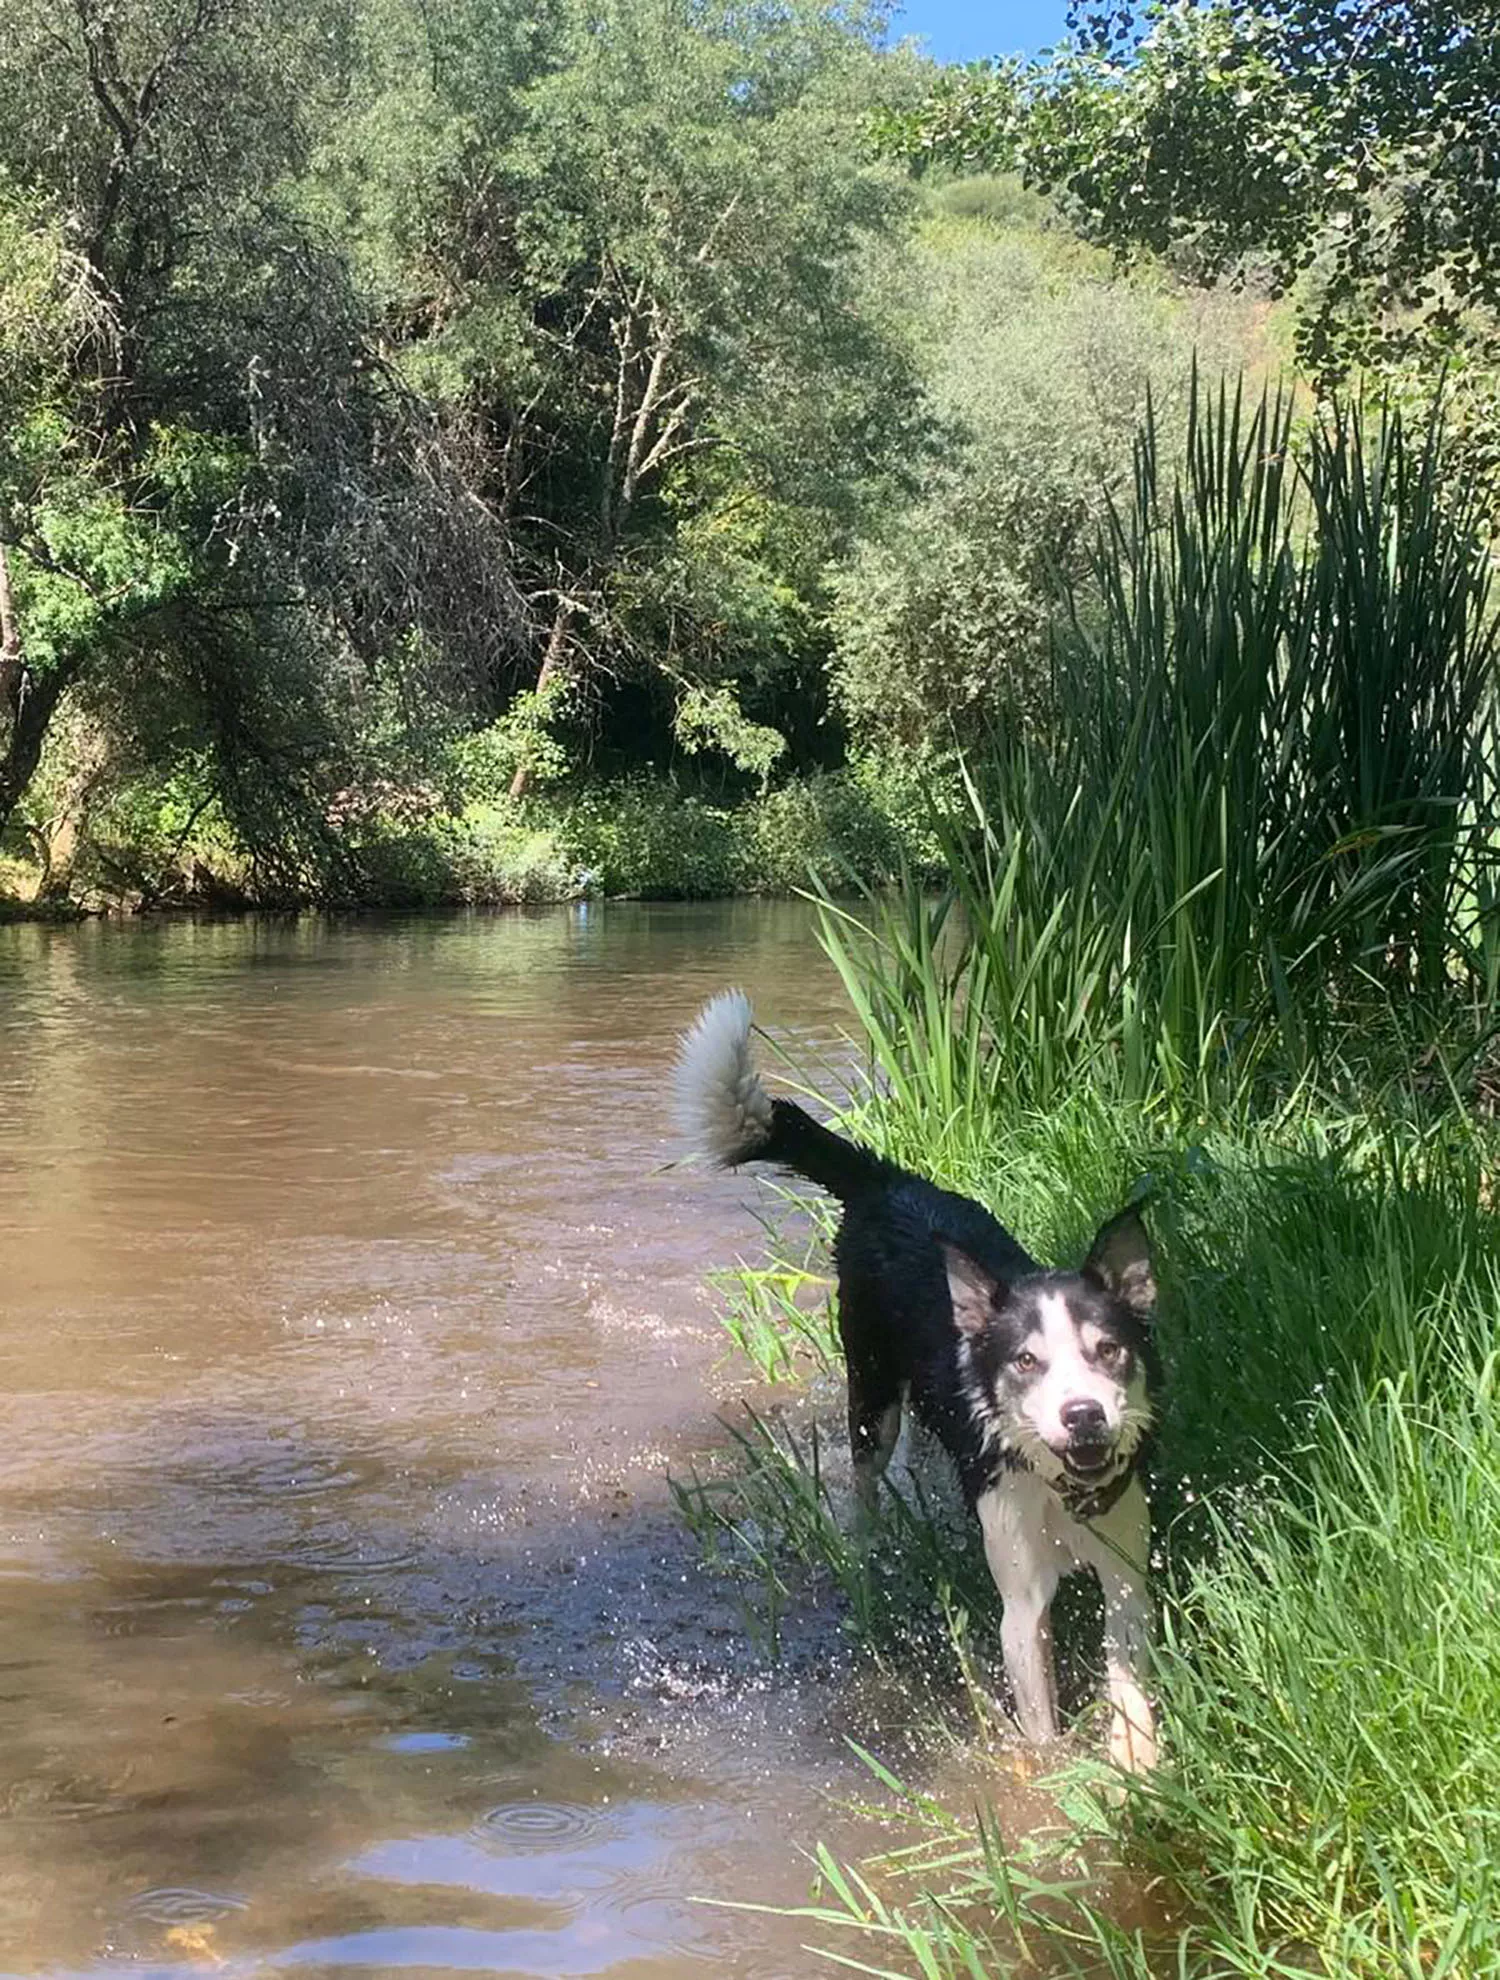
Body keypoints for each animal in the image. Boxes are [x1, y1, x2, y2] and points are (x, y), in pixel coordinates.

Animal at [676, 997, 1163, 1774]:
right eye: (1026, 1362)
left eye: (1108, 1350)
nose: (1084, 1416)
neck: (1057, 1487)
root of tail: (889, 1183)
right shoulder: (1022, 1604)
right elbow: (1040, 1721)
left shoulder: (1125, 1574)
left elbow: (1129, 1684)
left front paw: (1137, 1762)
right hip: (869, 1392)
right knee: (867, 1481)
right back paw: (868, 1553)